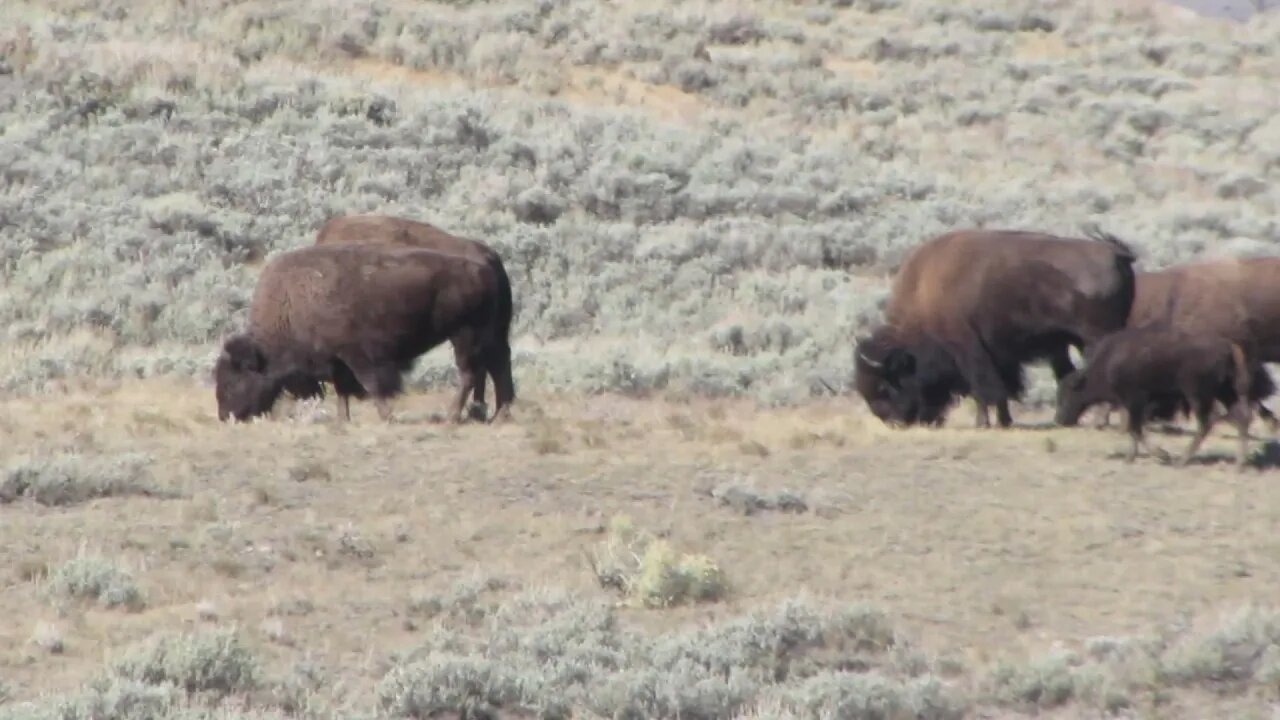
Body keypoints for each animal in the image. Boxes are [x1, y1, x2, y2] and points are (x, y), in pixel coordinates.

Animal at [212, 242, 512, 420]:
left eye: (234, 380)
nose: (226, 415)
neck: (292, 302)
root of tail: (486, 264)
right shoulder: (338, 362)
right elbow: (343, 391)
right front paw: (343, 420)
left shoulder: (359, 357)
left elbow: (372, 385)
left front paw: (386, 416)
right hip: (491, 335)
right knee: (498, 368)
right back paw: (499, 414)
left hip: (465, 335)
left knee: (470, 373)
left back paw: (452, 416)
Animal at [855, 226, 1136, 425]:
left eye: (884, 386)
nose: (893, 421)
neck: (925, 291)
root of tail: (1114, 252)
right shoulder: (999, 353)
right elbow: (1003, 388)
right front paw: (1004, 420)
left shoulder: (969, 349)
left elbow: (983, 389)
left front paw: (984, 423)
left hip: (1094, 336)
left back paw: (1101, 419)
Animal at [1049, 324, 1259, 466]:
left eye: (1067, 394)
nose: (1059, 420)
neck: (1109, 361)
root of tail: (1228, 346)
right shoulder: (1132, 403)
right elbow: (1134, 429)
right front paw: (1131, 456)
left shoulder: (1135, 400)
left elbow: (1136, 429)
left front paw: (1160, 454)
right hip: (1225, 392)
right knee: (1241, 416)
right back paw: (1239, 463)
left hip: (1197, 394)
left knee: (1208, 421)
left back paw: (1181, 460)